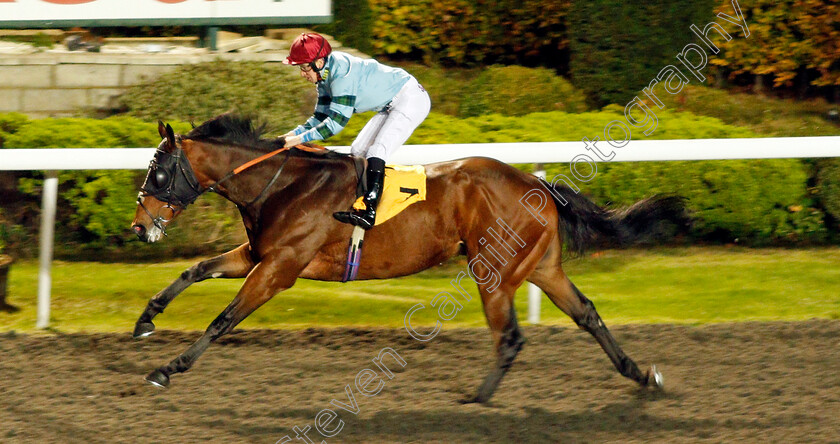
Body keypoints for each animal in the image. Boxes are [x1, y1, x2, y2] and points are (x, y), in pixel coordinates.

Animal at [130, 113, 684, 402]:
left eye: (159, 172)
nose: (138, 225)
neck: (284, 185)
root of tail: (537, 183)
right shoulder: (257, 254)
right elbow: (194, 270)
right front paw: (145, 320)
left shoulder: (279, 268)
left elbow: (224, 319)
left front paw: (168, 368)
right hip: (542, 267)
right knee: (586, 313)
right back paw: (642, 376)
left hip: (494, 271)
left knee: (510, 337)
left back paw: (477, 401)